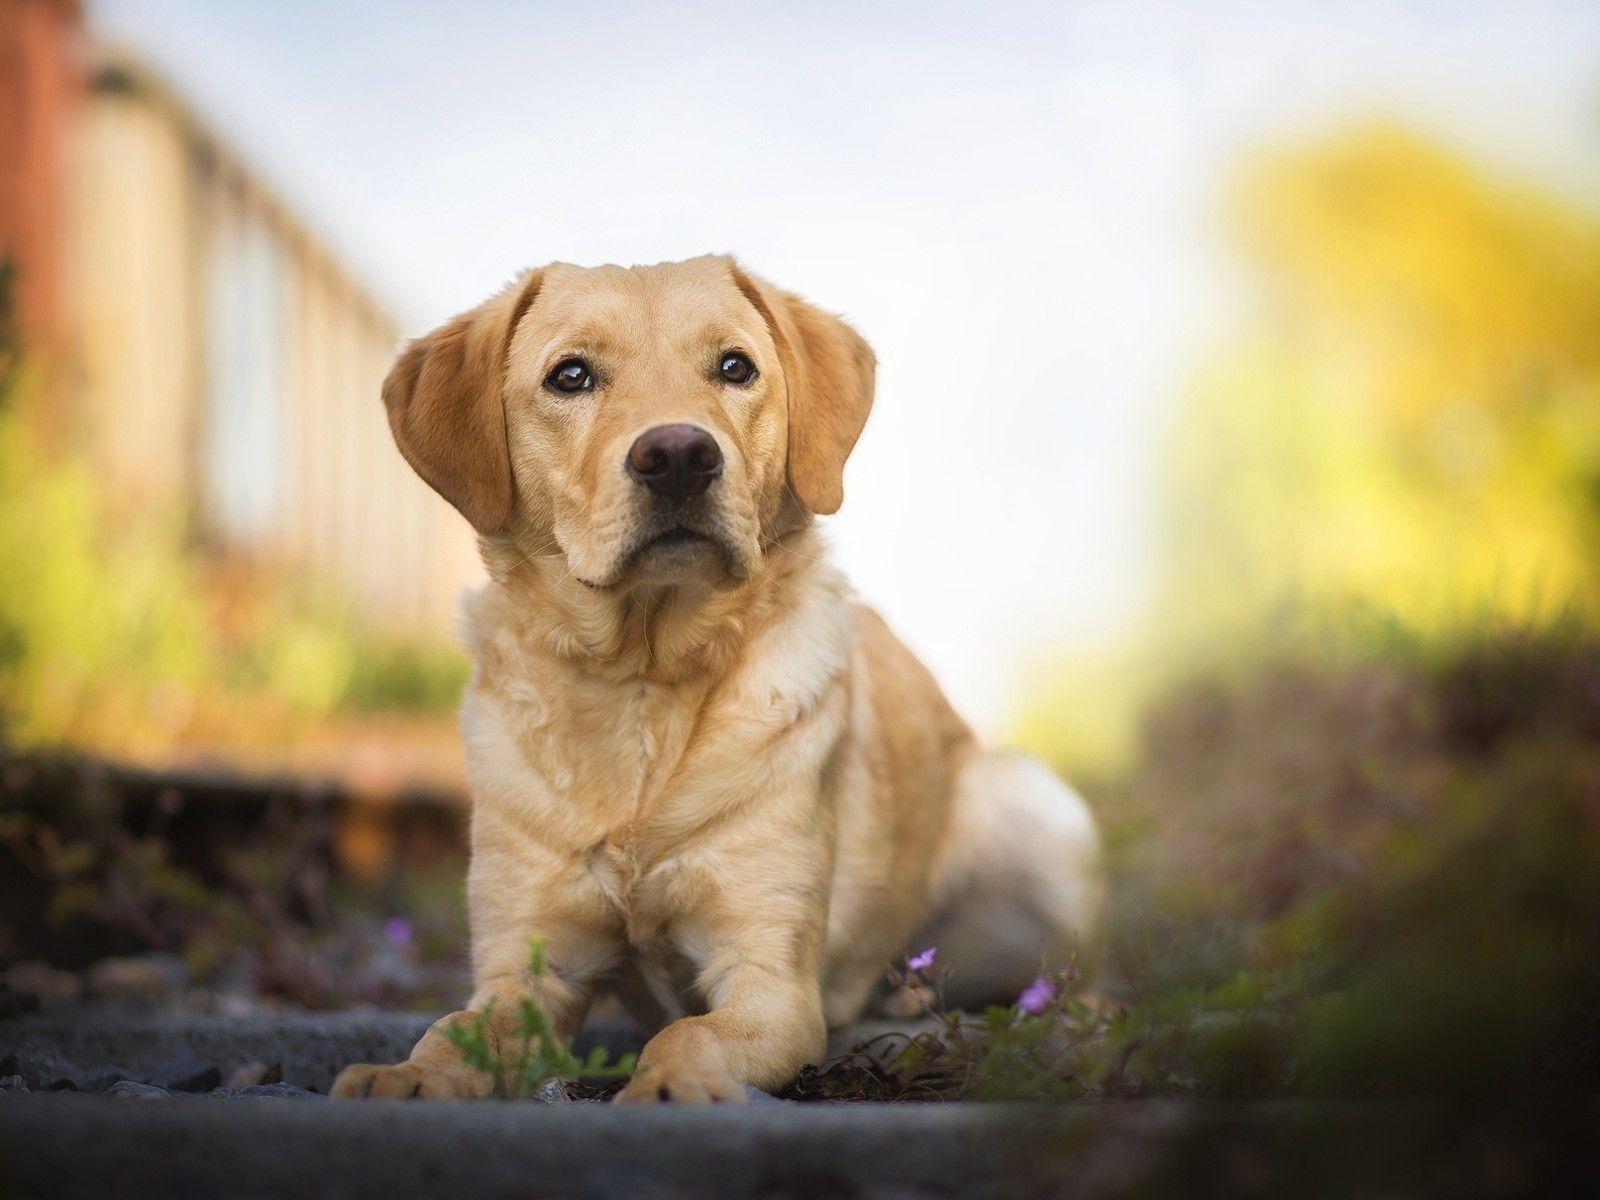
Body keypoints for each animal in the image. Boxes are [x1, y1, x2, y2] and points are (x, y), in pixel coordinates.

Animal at [324, 259, 1100, 1107]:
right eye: (570, 376)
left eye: (735, 367)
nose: (677, 455)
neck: (644, 681)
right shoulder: (526, 967)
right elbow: (452, 1032)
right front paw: (407, 1076)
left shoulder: (767, 976)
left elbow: (689, 1034)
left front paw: (666, 1087)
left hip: (1033, 809)